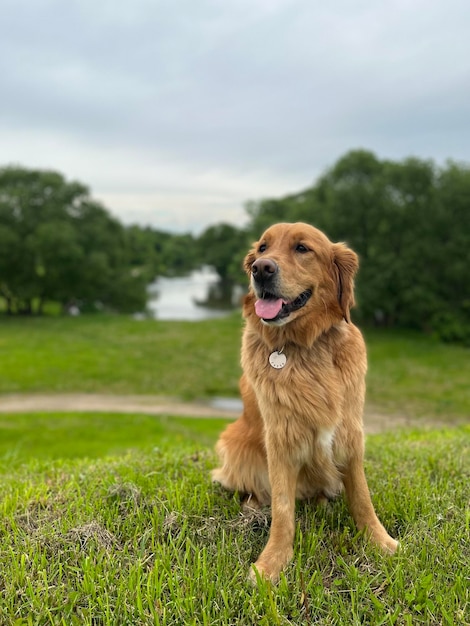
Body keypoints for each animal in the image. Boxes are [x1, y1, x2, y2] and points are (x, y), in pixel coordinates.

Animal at [213, 221, 400, 580]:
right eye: (262, 248)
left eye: (302, 248)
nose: (261, 269)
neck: (304, 347)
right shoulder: (281, 439)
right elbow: (283, 509)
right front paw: (272, 562)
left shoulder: (349, 433)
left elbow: (362, 496)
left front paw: (379, 540)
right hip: (234, 443)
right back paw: (253, 504)